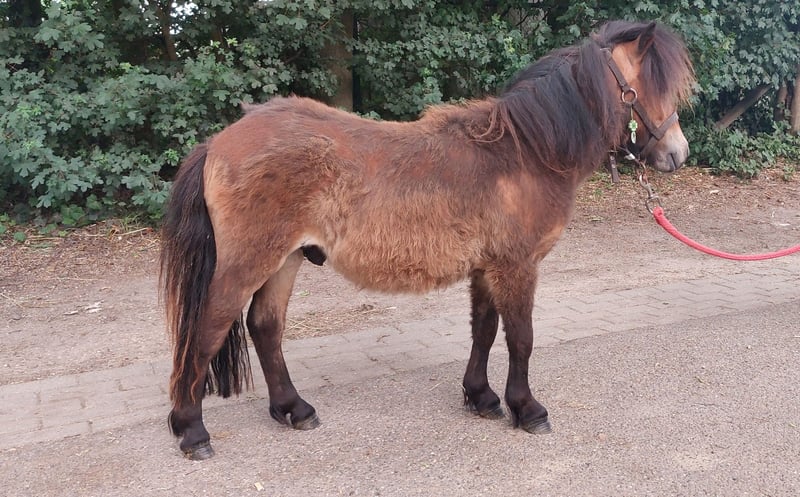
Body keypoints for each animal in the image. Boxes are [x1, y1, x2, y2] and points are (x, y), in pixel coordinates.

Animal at [161, 20, 695, 460]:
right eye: (651, 86)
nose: (678, 154)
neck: (525, 153)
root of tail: (219, 142)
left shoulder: (487, 267)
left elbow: (484, 330)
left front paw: (482, 397)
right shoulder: (517, 266)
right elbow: (520, 337)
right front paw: (527, 409)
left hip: (286, 259)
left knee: (265, 327)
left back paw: (294, 409)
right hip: (248, 263)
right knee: (206, 330)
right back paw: (192, 432)